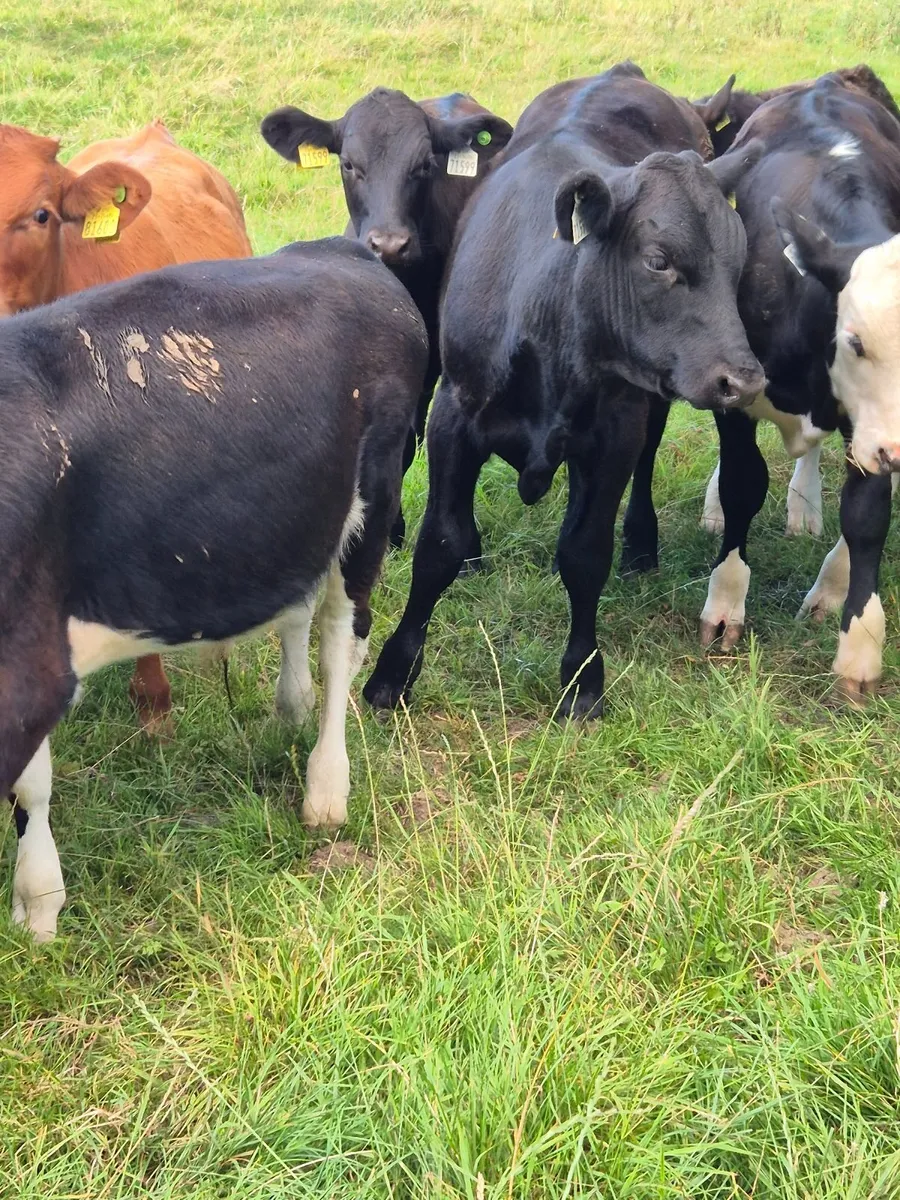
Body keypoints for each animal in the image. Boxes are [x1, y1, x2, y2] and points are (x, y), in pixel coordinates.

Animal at [1, 237, 428, 941]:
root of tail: (343, 249)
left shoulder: (28, 667)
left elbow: (28, 787)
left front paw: (36, 904)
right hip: (292, 514)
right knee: (298, 605)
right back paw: (291, 707)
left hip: (374, 493)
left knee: (344, 635)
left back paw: (326, 790)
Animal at [362, 62, 764, 722]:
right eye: (658, 260)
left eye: (739, 259)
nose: (744, 379)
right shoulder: (453, 416)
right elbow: (438, 546)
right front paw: (391, 673)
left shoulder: (616, 433)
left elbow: (584, 553)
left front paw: (582, 677)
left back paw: (641, 544)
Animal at [693, 72, 900, 701]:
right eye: (855, 341)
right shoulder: (733, 396)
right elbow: (742, 484)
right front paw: (725, 606)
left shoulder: (869, 431)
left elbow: (867, 517)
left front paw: (859, 645)